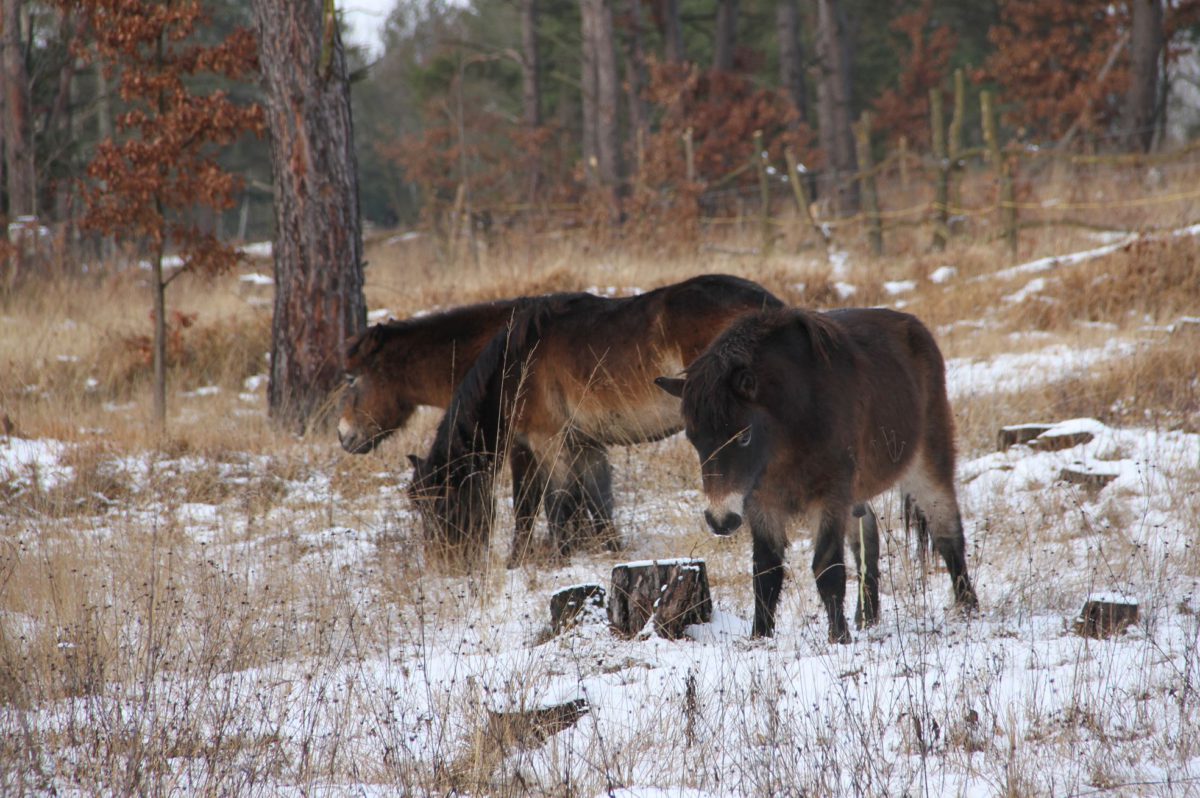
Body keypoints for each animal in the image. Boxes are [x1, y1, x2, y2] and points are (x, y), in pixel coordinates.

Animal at [410, 273, 787, 559]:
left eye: (442, 505)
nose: (444, 561)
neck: (516, 366)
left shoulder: (548, 442)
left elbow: (550, 504)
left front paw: (558, 559)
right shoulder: (586, 445)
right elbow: (598, 502)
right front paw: (612, 552)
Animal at [662, 304, 979, 643]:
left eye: (744, 436)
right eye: (693, 439)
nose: (720, 521)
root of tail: (915, 327)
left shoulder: (828, 497)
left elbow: (827, 568)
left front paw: (839, 638)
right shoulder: (763, 503)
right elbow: (766, 571)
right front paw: (760, 635)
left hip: (927, 464)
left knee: (947, 533)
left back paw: (968, 608)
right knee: (868, 544)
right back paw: (866, 618)